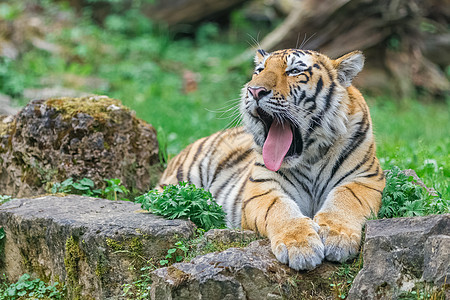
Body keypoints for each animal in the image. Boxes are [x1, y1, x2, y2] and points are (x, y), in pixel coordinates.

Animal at [157, 48, 384, 270]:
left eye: (294, 71)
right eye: (259, 70)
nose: (255, 91)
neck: (310, 156)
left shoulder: (366, 178)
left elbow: (345, 199)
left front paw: (338, 238)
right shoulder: (262, 187)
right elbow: (280, 209)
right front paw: (300, 246)